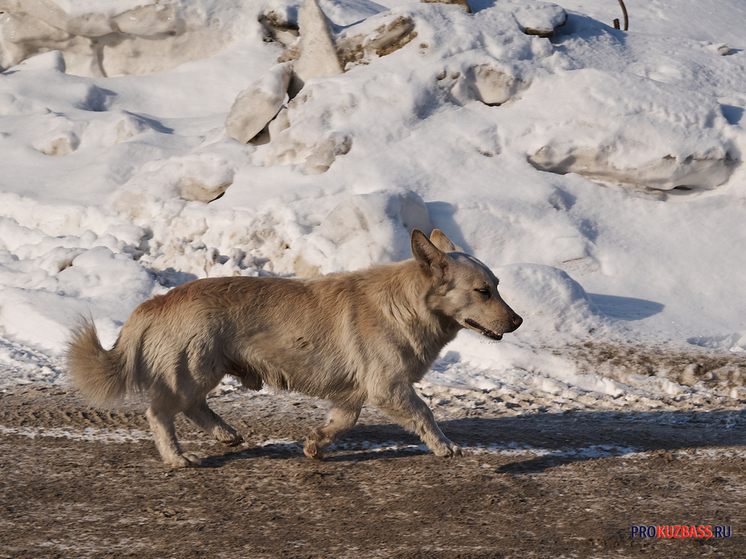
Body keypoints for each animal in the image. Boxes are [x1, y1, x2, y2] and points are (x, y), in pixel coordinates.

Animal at [67, 230, 520, 470]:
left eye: (498, 285)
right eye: (483, 291)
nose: (517, 322)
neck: (408, 304)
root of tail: (155, 302)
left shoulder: (355, 396)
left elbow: (340, 425)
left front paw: (315, 445)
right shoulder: (389, 388)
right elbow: (426, 415)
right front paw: (445, 447)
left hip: (203, 372)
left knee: (195, 408)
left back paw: (227, 434)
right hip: (192, 371)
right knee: (160, 414)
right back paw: (177, 458)